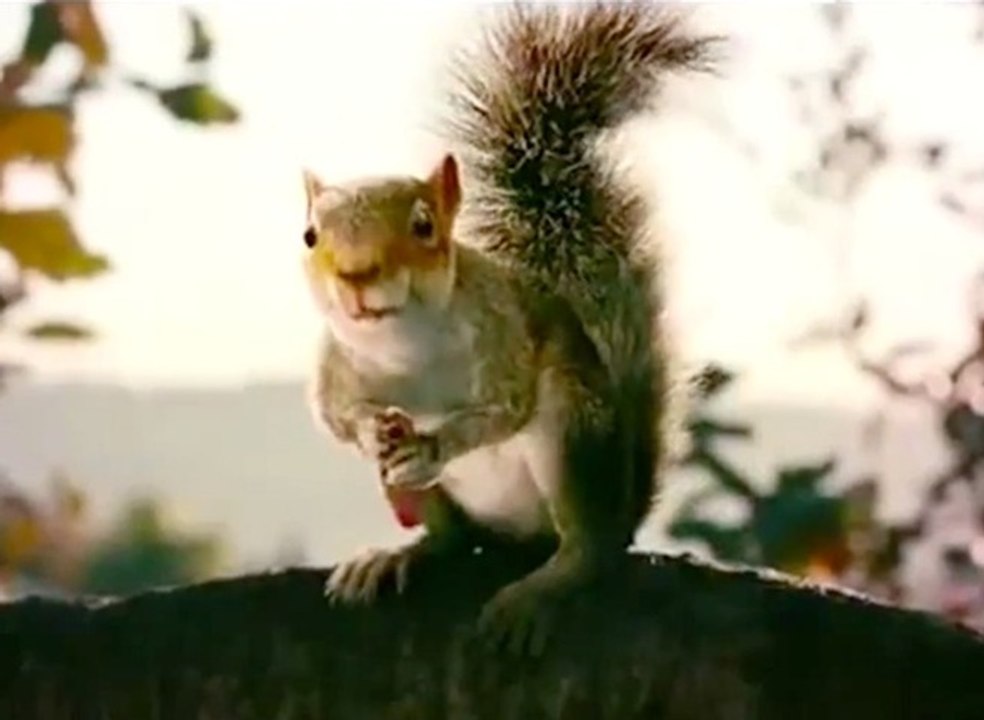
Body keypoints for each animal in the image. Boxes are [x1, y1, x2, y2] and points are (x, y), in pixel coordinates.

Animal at [301, 2, 714, 654]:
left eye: (424, 226)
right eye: (310, 235)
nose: (356, 277)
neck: (404, 347)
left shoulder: (505, 337)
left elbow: (503, 410)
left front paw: (433, 443)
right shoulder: (335, 368)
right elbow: (335, 417)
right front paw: (374, 432)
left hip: (570, 430)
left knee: (587, 546)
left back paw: (542, 588)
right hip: (444, 501)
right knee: (451, 539)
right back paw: (398, 555)